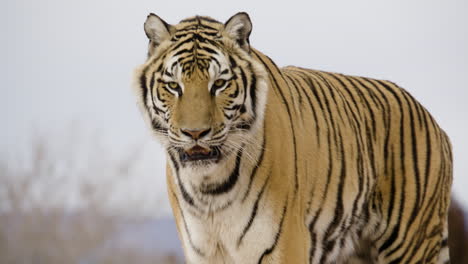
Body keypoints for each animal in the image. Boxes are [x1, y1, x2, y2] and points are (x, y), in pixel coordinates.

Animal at [133, 11, 454, 262]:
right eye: (174, 86)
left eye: (220, 84)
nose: (195, 133)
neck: (210, 189)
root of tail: (435, 123)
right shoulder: (203, 252)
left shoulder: (283, 244)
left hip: (409, 241)